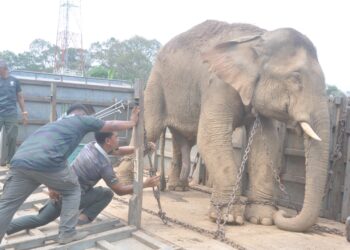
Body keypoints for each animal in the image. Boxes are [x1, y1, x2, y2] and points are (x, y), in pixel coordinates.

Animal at [144, 20, 330, 232]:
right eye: (296, 77)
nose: (284, 213)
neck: (258, 39)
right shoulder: (217, 84)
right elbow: (211, 137)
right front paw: (230, 217)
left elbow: (267, 143)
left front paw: (262, 219)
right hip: (155, 84)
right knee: (151, 130)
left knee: (181, 140)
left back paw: (178, 188)